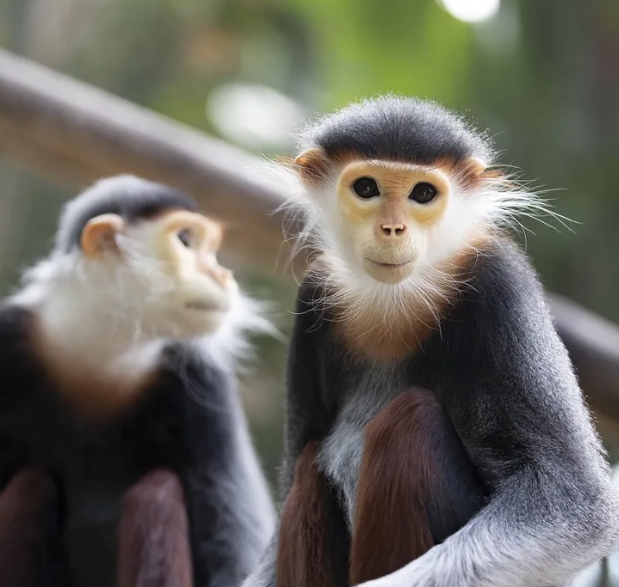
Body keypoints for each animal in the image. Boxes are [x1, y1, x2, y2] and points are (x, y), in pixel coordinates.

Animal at [0, 175, 276, 587]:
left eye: (211, 251)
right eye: (185, 240)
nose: (222, 275)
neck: (102, 349)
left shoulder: (203, 381)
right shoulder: (8, 338)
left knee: (157, 492)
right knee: (29, 486)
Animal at [243, 95, 619, 587]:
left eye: (422, 194)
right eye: (366, 188)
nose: (392, 229)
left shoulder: (500, 282)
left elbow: (575, 505)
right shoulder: (313, 296)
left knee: (410, 417)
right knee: (307, 465)